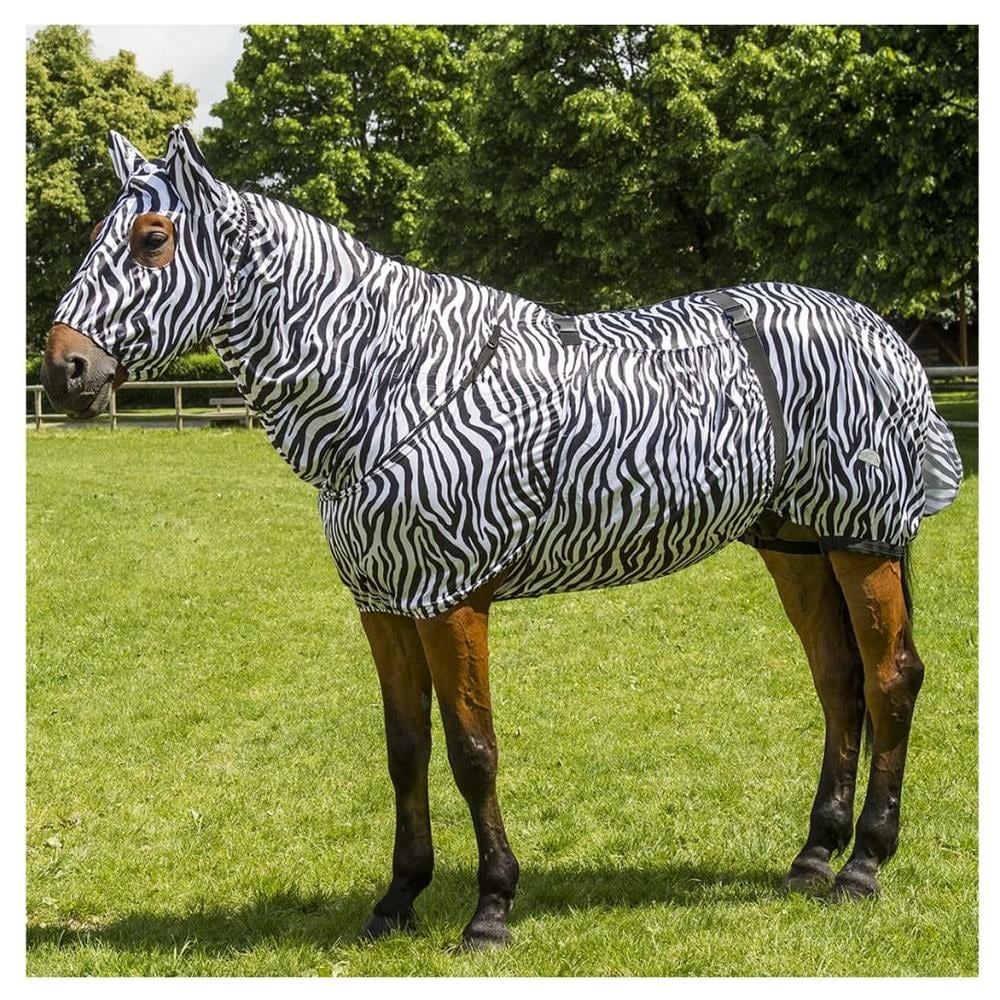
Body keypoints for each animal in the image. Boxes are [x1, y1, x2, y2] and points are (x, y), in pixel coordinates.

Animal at [42, 126, 962, 949]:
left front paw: (490, 910)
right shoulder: (384, 601)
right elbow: (406, 748)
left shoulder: (451, 598)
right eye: (92, 238)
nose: (63, 371)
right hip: (796, 543)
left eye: (152, 239)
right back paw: (812, 857)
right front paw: (396, 901)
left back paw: (863, 866)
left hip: (861, 541)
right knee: (838, 681)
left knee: (890, 680)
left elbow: (472, 750)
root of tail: (880, 330)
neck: (393, 383)